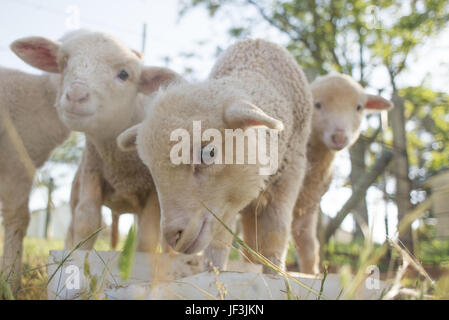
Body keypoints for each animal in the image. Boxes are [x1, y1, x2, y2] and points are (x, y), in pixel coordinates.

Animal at [13, 31, 183, 254]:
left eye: (124, 74)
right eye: (64, 63)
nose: (76, 94)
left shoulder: (154, 191)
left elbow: (147, 237)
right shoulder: (92, 171)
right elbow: (86, 220)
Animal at [116, 38, 312, 272]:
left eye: (209, 152)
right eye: (151, 168)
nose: (174, 238)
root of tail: (258, 40)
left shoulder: (290, 175)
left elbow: (277, 230)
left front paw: (274, 271)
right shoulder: (225, 201)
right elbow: (219, 239)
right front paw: (213, 271)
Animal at [290, 73, 392, 276]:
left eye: (359, 107)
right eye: (317, 104)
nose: (339, 137)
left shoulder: (309, 201)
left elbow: (308, 245)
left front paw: (310, 274)